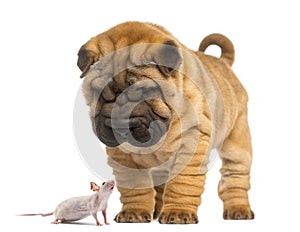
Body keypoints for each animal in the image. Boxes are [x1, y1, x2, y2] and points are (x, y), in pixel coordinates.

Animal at [76, 21, 254, 223]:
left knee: (235, 179)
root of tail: (223, 63)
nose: (118, 114)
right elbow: (135, 186)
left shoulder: (191, 144)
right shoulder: (123, 156)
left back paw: (238, 209)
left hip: (236, 144)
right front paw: (134, 212)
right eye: (99, 95)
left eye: (143, 93)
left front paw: (178, 212)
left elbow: (182, 184)